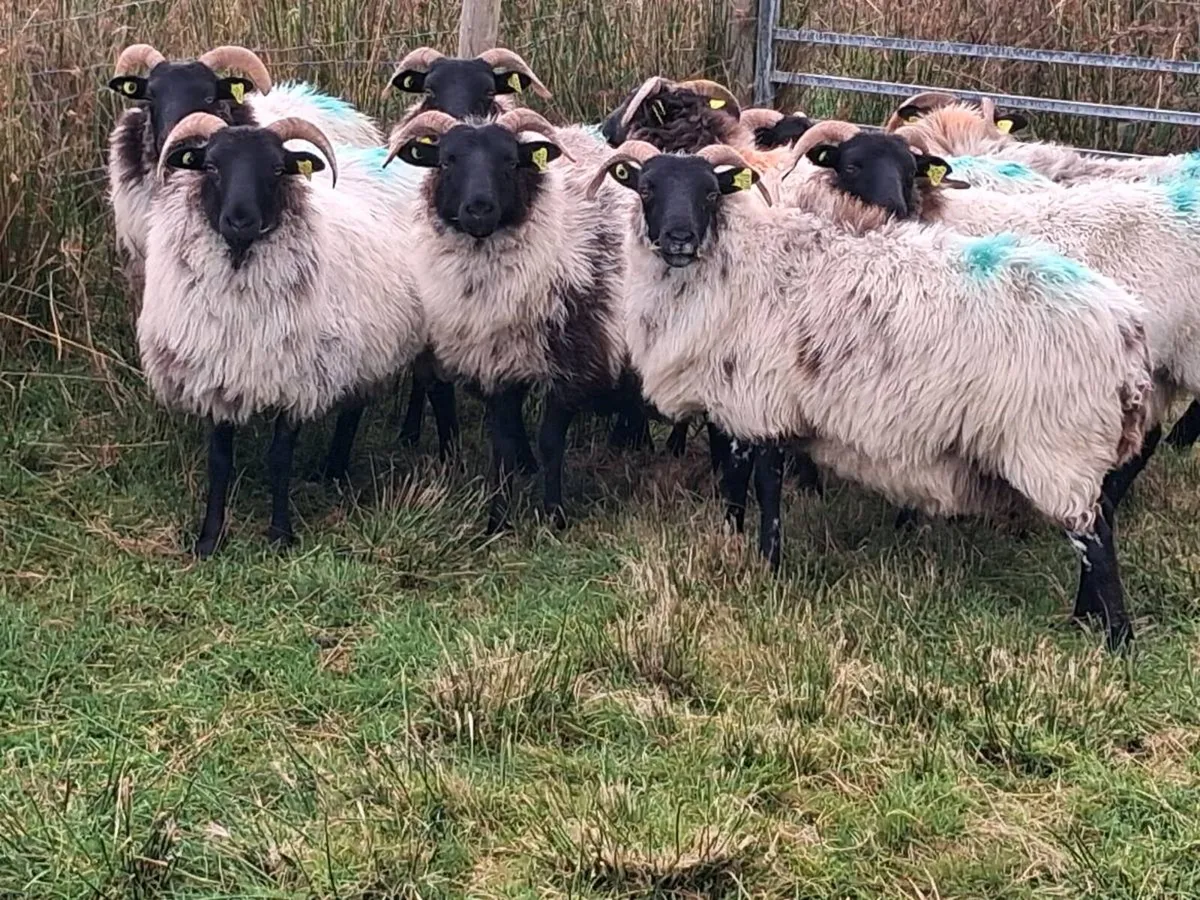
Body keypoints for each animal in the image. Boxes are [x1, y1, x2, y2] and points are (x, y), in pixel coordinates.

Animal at [142, 114, 425, 557]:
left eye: (277, 169)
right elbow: (219, 461)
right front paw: (210, 538)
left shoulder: (297, 379)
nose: (240, 220)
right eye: (211, 166)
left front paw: (280, 534)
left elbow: (279, 458)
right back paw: (333, 469)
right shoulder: (217, 374)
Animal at [383, 108, 630, 532]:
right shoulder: (497, 364)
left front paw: (554, 516)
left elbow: (551, 443)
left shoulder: (573, 363)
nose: (479, 208)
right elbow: (502, 446)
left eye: (512, 162)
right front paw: (496, 522)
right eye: (446, 161)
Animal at [589, 140, 1153, 649]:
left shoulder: (763, 401)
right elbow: (733, 481)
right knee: (1100, 520)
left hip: (1058, 450)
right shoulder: (734, 404)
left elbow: (764, 487)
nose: (679, 238)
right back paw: (1084, 617)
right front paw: (730, 540)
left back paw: (1117, 637)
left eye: (710, 192)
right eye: (645, 188)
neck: (739, 264)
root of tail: (1128, 331)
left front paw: (768, 564)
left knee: (1097, 538)